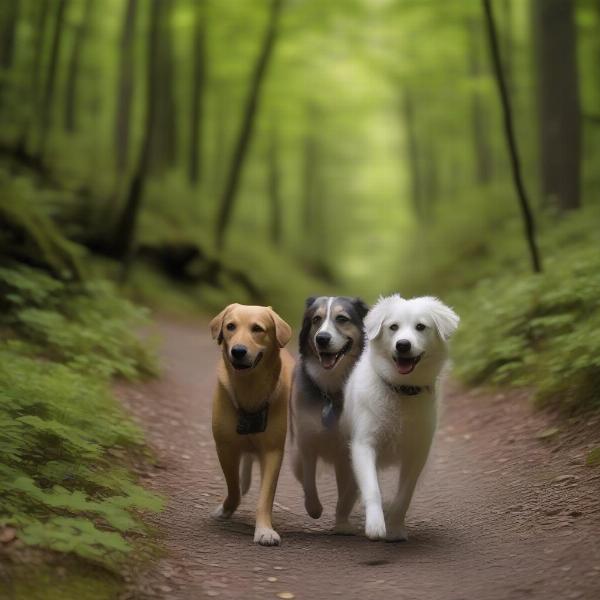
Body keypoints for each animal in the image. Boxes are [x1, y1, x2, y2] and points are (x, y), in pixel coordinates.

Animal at [210, 304, 294, 544]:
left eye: (257, 328)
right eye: (230, 326)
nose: (238, 350)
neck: (249, 388)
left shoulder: (273, 451)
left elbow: (265, 496)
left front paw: (264, 530)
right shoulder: (225, 447)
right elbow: (233, 486)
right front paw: (226, 509)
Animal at [290, 292, 368, 532]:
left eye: (342, 319)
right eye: (316, 319)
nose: (322, 338)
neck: (332, 390)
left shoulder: (351, 450)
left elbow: (347, 494)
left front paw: (342, 523)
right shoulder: (306, 442)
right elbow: (308, 481)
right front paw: (314, 508)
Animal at [342, 292, 460, 540]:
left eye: (420, 327)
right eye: (393, 327)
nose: (403, 345)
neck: (401, 390)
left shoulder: (417, 454)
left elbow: (404, 496)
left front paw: (395, 528)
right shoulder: (364, 444)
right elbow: (373, 489)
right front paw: (375, 525)